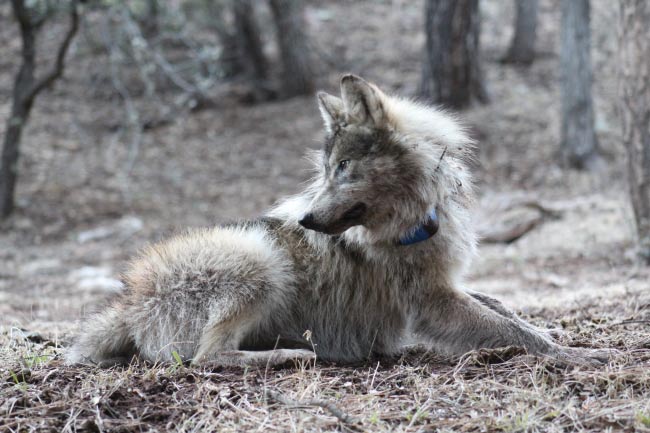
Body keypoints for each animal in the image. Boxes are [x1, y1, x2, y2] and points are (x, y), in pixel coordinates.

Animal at [67, 75, 611, 367]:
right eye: (327, 170)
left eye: (344, 168)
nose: (305, 220)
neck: (414, 221)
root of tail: (128, 301)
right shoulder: (433, 303)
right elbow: (511, 331)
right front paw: (578, 357)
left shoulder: (449, 285)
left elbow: (508, 310)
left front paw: (564, 337)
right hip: (261, 261)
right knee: (208, 358)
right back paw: (289, 355)